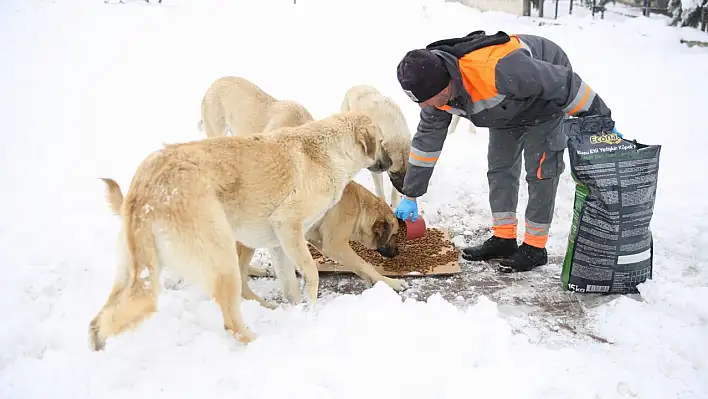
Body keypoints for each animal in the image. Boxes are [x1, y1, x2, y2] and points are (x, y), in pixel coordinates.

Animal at [87, 111, 392, 352]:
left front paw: (296, 314)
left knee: (104, 315)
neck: (329, 152)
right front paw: (311, 311)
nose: (391, 164)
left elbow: (290, 285)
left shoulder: (279, 242)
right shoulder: (289, 226)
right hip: (222, 258)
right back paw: (256, 341)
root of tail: (145, 186)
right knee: (231, 319)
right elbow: (313, 274)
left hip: (132, 270)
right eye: (381, 143)